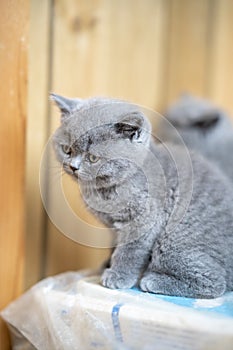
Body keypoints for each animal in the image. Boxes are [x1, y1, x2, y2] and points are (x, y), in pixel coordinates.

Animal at [51, 94, 233, 300]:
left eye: (93, 158)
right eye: (66, 149)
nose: (72, 167)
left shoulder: (144, 219)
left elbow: (129, 250)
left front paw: (117, 275)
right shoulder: (114, 227)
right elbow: (115, 246)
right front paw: (107, 264)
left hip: (173, 240)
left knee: (214, 283)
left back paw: (152, 280)